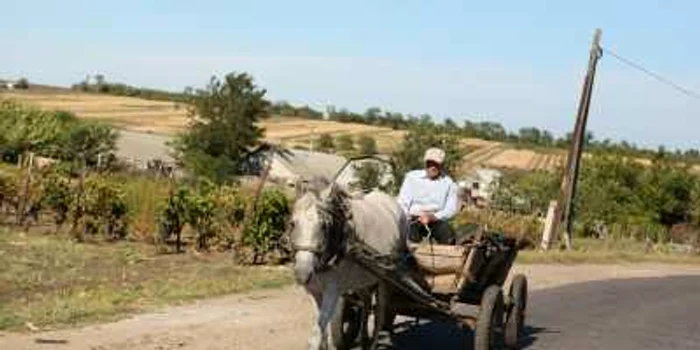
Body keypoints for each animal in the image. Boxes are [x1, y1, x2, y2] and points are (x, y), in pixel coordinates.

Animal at [292, 182, 410, 348]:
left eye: (323, 225)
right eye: (293, 223)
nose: (302, 274)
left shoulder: (332, 292)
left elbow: (317, 334)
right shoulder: (314, 292)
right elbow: (322, 332)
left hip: (385, 278)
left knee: (380, 313)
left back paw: (372, 344)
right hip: (361, 278)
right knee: (366, 302)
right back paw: (363, 338)